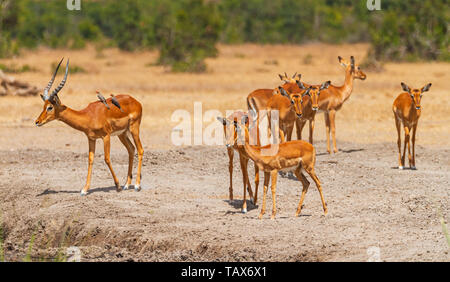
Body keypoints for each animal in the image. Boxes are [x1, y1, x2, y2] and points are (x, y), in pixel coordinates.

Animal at [35, 59, 144, 196]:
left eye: (50, 107)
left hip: (134, 128)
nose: (37, 121)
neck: (88, 115)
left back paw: (136, 185)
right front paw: (85, 189)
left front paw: (117, 186)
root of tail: (136, 101)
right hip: (122, 134)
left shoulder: (106, 136)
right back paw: (127, 185)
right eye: (43, 106)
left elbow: (107, 158)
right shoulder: (91, 138)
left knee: (140, 150)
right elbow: (90, 160)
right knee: (131, 149)